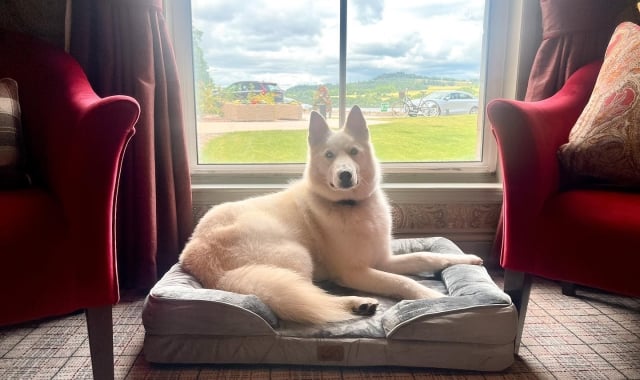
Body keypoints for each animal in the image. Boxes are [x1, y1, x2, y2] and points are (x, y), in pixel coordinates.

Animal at [179, 106, 480, 324]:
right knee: (310, 295)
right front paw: (430, 296)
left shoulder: (383, 260)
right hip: (298, 256)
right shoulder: (353, 272)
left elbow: (426, 256)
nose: (345, 174)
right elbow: (402, 280)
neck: (350, 205)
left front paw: (467, 259)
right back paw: (355, 303)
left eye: (354, 152)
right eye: (329, 155)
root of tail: (196, 252)